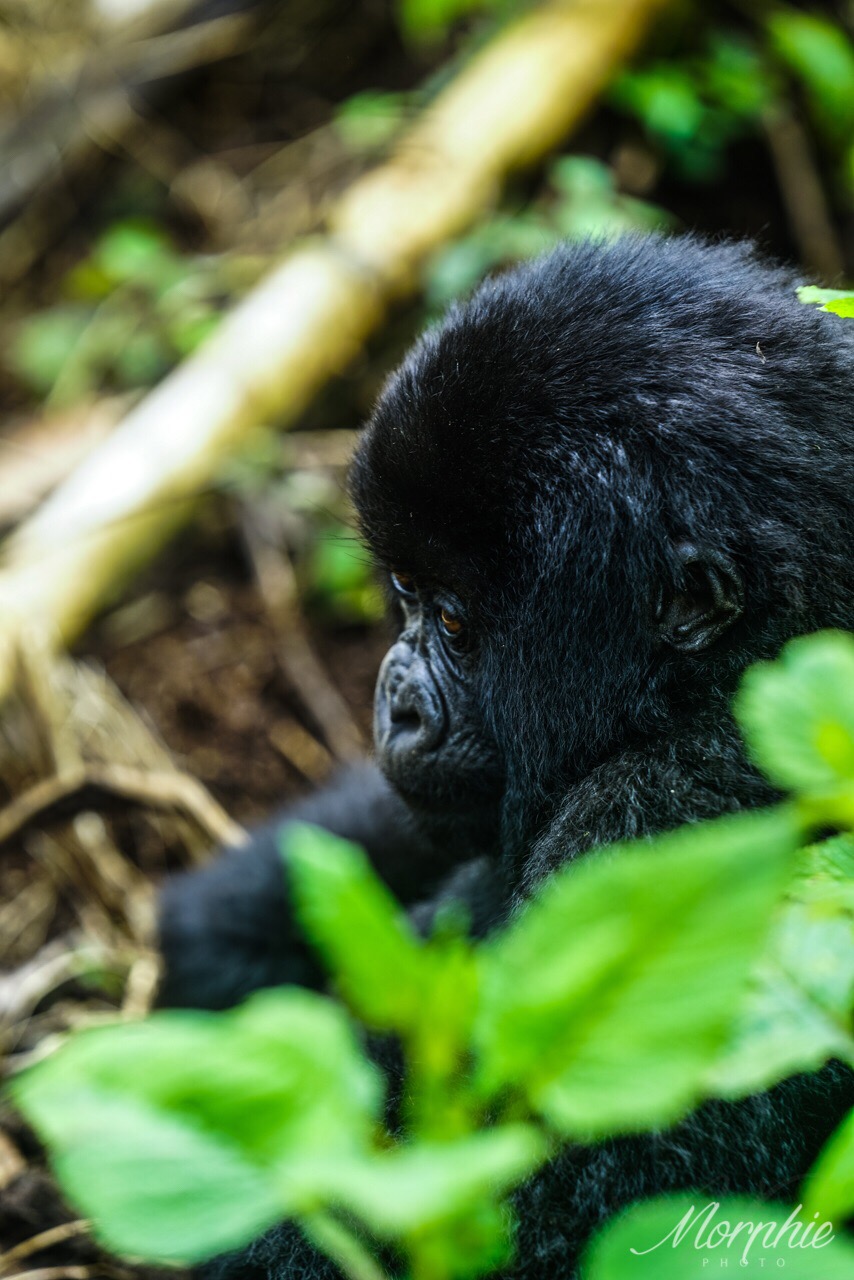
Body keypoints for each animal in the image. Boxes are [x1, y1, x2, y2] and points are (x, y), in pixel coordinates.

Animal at [158, 240, 854, 1280]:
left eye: (453, 623)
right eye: (406, 594)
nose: (395, 699)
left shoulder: (665, 817)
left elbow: (496, 1211)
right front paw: (213, 937)